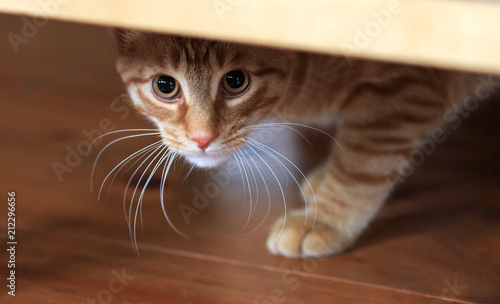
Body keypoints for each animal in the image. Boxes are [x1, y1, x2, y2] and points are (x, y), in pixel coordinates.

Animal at [111, 28, 482, 258]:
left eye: (236, 81)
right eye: (165, 85)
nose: (202, 137)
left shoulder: (402, 90)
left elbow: (359, 166)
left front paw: (324, 220)